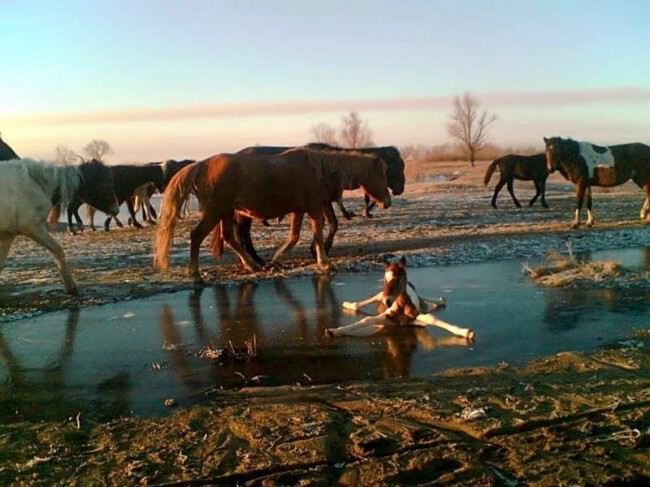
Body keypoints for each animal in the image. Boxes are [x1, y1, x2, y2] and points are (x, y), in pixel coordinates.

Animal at [0, 160, 118, 296]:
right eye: (106, 183)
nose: (116, 209)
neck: (35, 184)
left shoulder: (8, 234)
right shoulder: (34, 229)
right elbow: (58, 250)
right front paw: (71, 288)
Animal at [153, 149, 390, 282]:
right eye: (380, 174)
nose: (387, 201)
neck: (318, 169)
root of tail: (202, 165)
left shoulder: (299, 210)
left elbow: (294, 236)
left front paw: (277, 258)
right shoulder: (314, 208)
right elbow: (318, 231)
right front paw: (324, 262)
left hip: (226, 212)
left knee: (229, 237)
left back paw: (253, 265)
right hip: (215, 211)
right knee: (196, 236)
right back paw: (195, 273)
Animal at [322, 260, 470, 340]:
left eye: (397, 279)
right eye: (384, 279)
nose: (388, 301)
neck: (402, 306)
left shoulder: (414, 319)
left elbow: (431, 318)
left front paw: (465, 332)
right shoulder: (388, 318)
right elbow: (367, 320)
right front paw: (333, 331)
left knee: (424, 300)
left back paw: (440, 300)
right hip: (381, 296)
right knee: (374, 298)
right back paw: (349, 304)